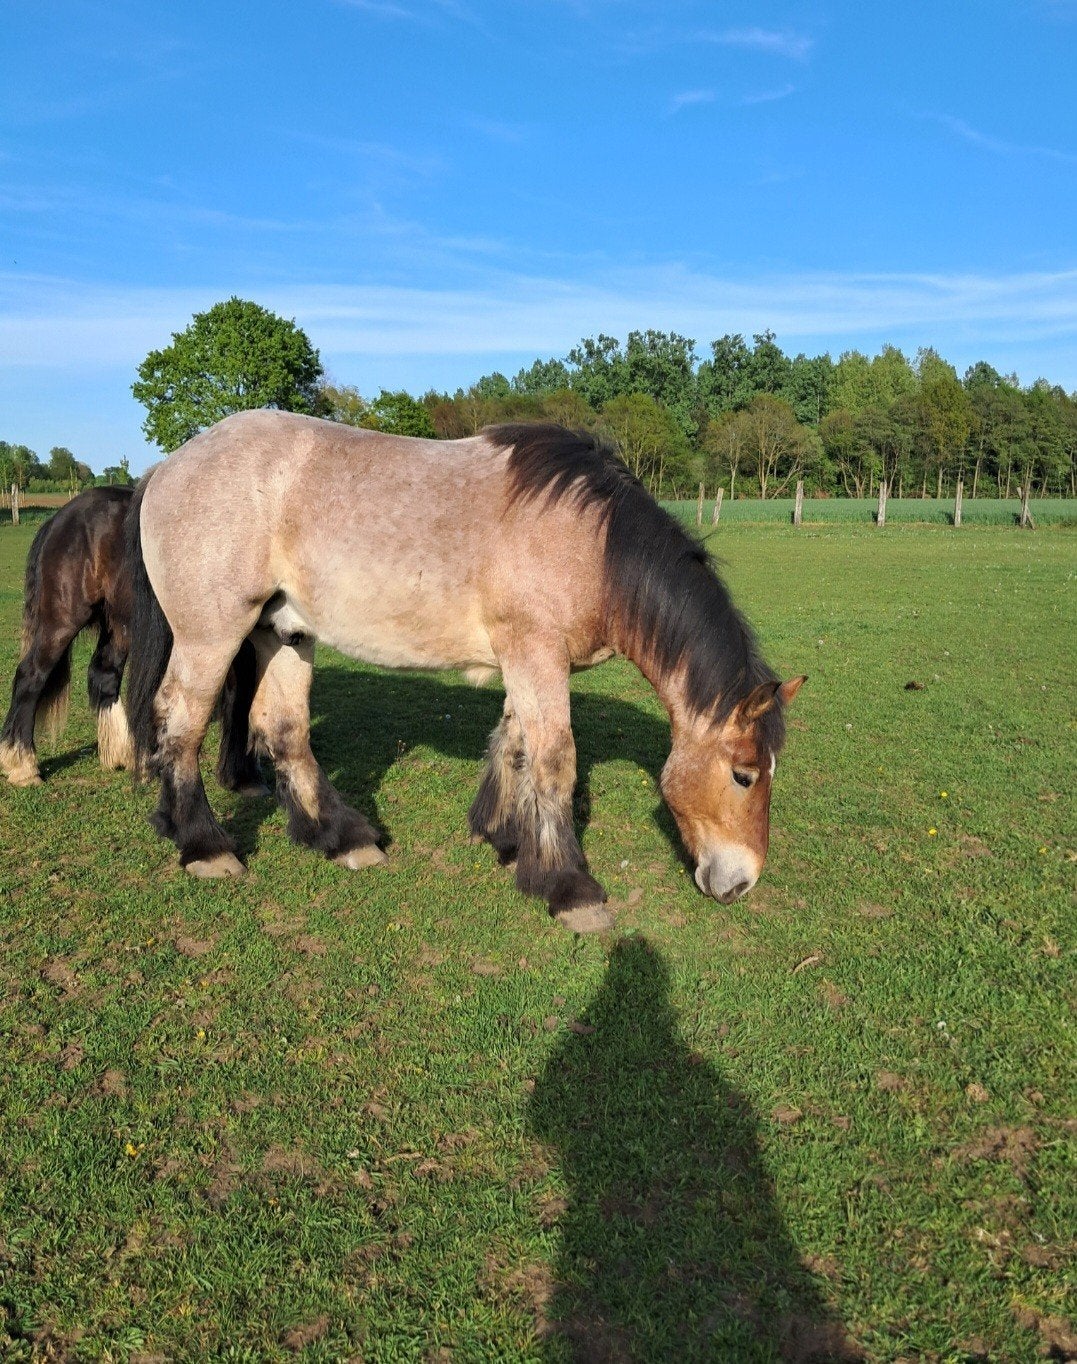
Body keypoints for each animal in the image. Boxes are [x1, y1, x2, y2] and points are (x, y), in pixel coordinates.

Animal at [0, 486, 263, 794]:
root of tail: (59, 519)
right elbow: (241, 697)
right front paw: (241, 776)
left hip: (119, 626)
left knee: (104, 674)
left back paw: (127, 757)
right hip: (62, 620)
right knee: (31, 677)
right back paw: (23, 766)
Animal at [124, 411, 805, 926]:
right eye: (744, 775)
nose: (742, 882)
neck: (592, 545)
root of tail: (165, 469)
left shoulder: (530, 661)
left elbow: (515, 745)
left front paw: (505, 838)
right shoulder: (535, 655)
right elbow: (555, 760)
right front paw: (568, 886)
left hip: (284, 633)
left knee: (285, 729)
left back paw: (340, 837)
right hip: (212, 636)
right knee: (180, 723)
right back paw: (203, 844)